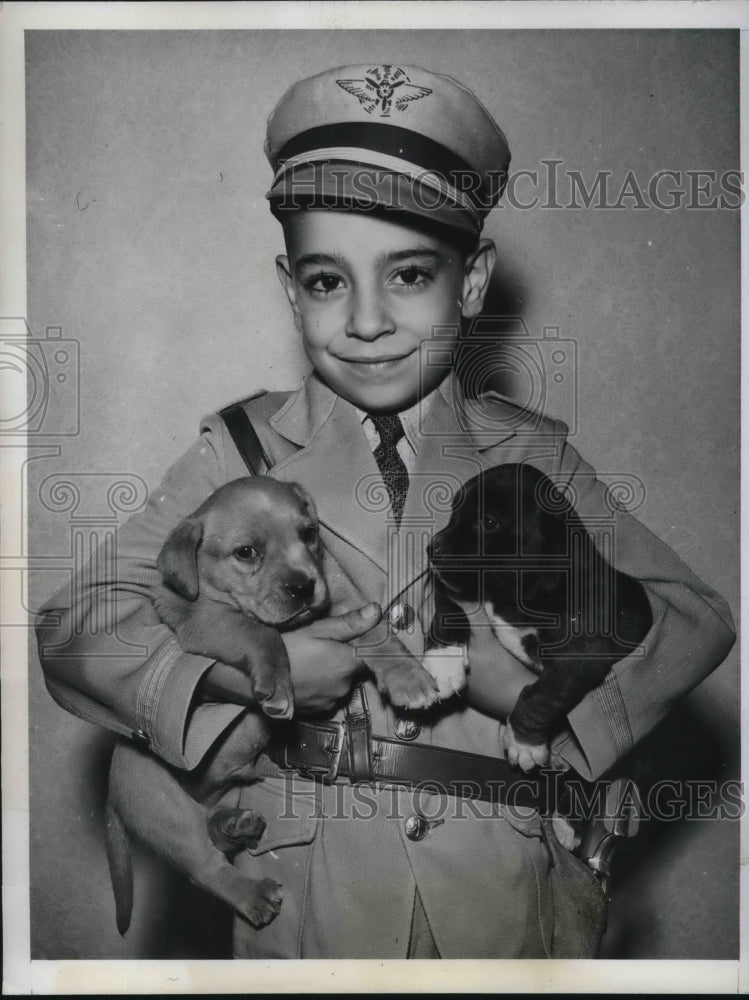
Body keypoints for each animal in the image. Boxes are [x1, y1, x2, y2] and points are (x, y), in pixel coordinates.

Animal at [424, 464, 652, 768]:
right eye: (454, 513)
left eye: (488, 522)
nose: (432, 548)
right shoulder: (453, 586)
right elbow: (449, 609)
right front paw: (444, 661)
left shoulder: (583, 654)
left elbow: (544, 694)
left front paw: (524, 743)